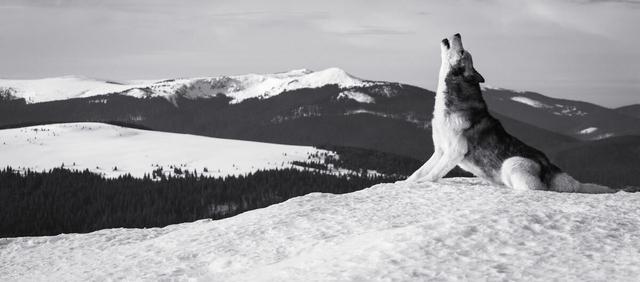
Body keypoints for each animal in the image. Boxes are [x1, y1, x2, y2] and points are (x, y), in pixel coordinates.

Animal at [410, 32, 616, 193]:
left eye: (462, 52)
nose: (458, 34)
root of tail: (552, 168)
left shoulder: (454, 152)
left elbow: (432, 174)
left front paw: (421, 184)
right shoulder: (440, 151)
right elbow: (419, 171)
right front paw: (409, 183)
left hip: (512, 163)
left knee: (535, 190)